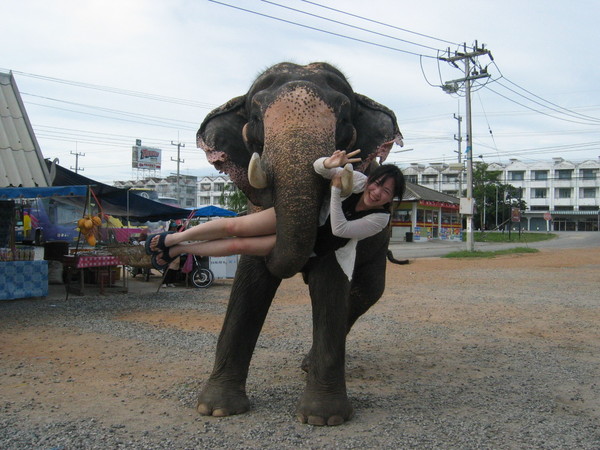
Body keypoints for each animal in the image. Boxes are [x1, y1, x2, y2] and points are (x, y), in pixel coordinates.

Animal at [197, 62, 404, 426]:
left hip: (380, 243)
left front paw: (323, 419)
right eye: (255, 117)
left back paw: (309, 365)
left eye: (345, 119)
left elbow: (330, 284)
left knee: (367, 291)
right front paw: (217, 409)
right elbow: (249, 283)